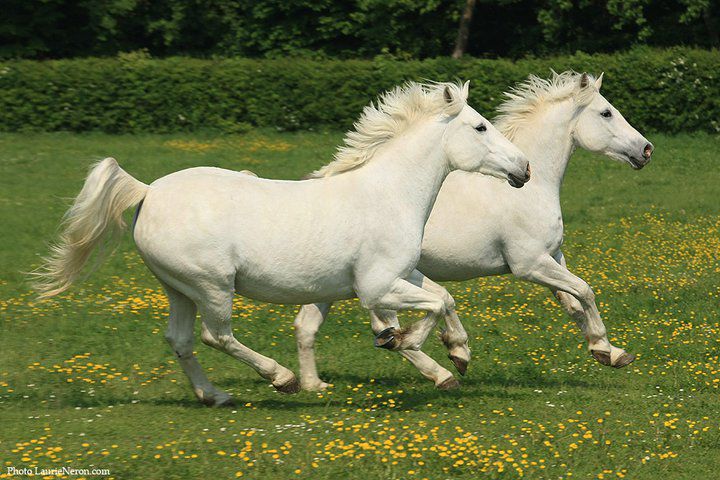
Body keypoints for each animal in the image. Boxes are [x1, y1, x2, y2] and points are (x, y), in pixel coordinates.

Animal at [33, 81, 530, 406]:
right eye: (481, 128)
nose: (524, 169)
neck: (388, 194)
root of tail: (148, 190)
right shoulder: (376, 286)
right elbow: (434, 306)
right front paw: (406, 344)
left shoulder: (402, 273)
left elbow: (444, 298)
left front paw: (454, 357)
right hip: (213, 285)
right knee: (217, 335)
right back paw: (283, 379)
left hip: (178, 289)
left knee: (180, 340)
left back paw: (215, 395)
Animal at [293, 72, 654, 391]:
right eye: (606, 112)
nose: (646, 149)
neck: (532, 188)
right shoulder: (530, 264)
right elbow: (585, 290)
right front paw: (608, 350)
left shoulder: (552, 255)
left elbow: (574, 304)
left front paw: (607, 351)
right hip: (380, 282)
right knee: (384, 328)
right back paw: (445, 369)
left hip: (331, 283)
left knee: (308, 325)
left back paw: (308, 383)